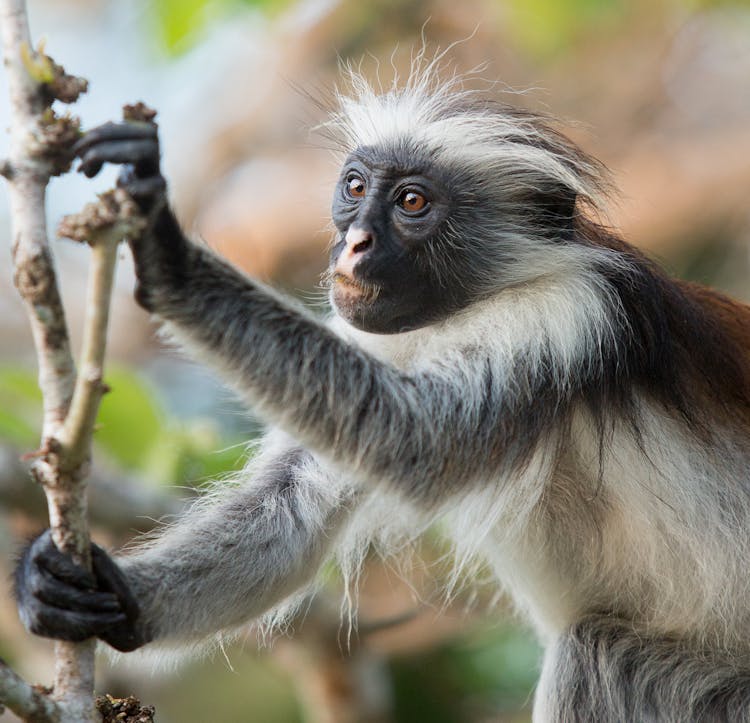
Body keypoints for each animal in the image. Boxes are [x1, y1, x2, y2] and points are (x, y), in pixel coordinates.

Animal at [10, 65, 750, 720]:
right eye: (355, 187)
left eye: (412, 203)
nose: (355, 243)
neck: (463, 311)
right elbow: (291, 512)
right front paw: (87, 589)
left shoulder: (570, 316)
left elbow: (415, 439)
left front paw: (165, 250)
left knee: (596, 653)